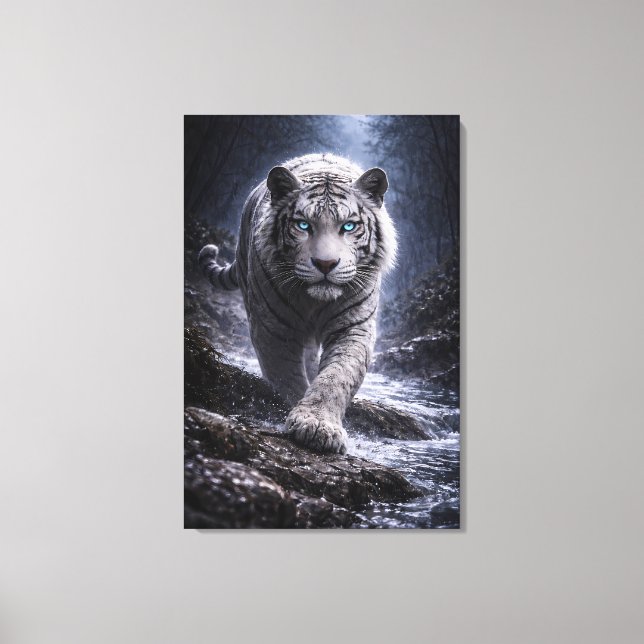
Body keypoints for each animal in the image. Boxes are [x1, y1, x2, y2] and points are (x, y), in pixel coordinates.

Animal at [198, 153, 397, 454]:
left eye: (349, 226)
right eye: (303, 225)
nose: (326, 264)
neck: (313, 301)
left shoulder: (353, 327)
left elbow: (336, 376)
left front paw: (318, 425)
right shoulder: (272, 330)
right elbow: (289, 379)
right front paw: (305, 421)